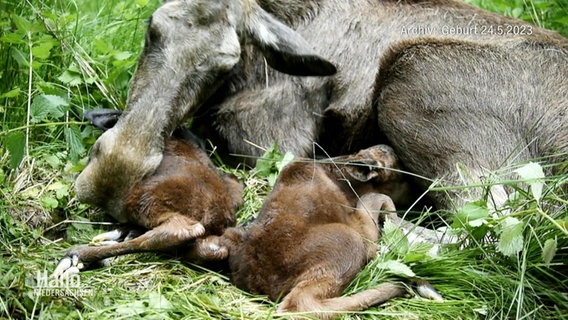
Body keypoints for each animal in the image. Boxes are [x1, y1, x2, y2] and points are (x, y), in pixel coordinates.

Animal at [195, 146, 440, 320]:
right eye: (402, 176)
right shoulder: (362, 230)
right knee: (300, 305)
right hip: (346, 243)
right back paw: (405, 285)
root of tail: (257, 280)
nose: (424, 195)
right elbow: (380, 200)